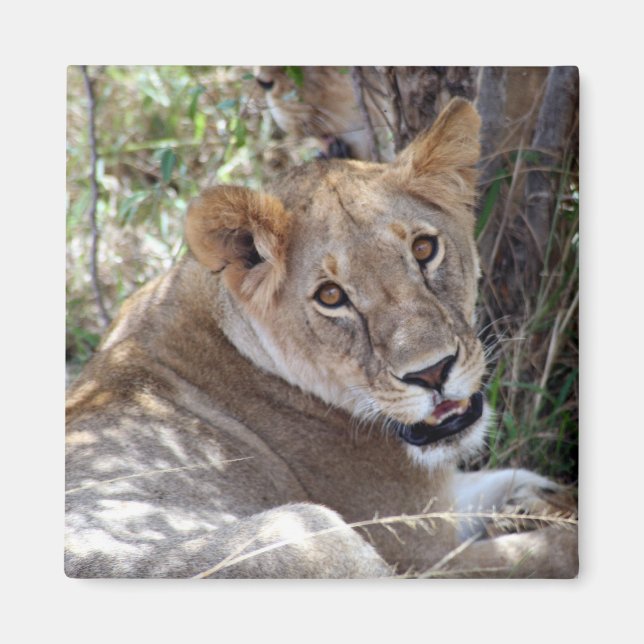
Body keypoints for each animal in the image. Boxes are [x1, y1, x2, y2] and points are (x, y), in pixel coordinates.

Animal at [65, 98, 577, 578]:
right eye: (331, 296)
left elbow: (502, 479)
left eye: (424, 249)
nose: (433, 373)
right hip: (308, 532)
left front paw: (539, 495)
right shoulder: (422, 552)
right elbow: (550, 550)